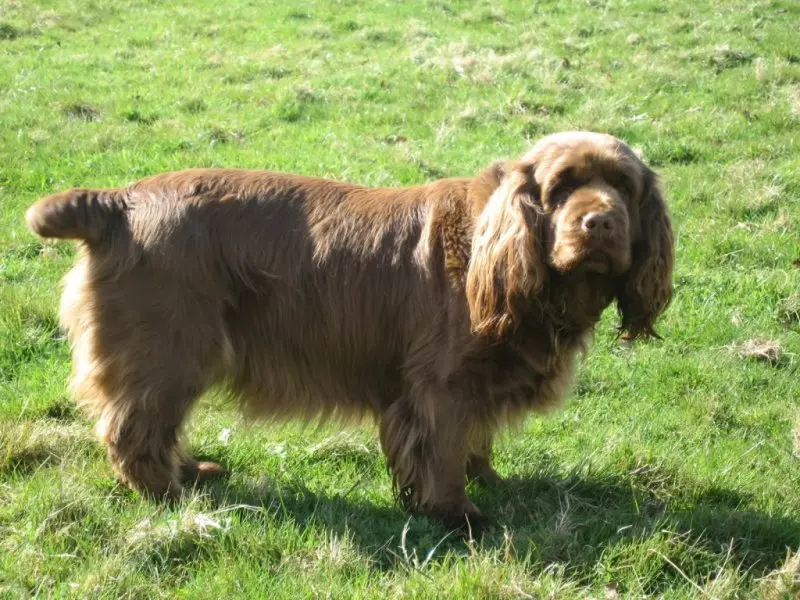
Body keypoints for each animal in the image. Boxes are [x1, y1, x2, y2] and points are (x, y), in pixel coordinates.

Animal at [26, 130, 676, 524]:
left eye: (624, 187)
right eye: (561, 187)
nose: (601, 223)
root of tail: (117, 202)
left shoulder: (474, 385)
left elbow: (476, 440)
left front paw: (489, 479)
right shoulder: (441, 385)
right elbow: (444, 452)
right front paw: (457, 516)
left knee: (152, 427)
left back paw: (190, 472)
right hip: (171, 347)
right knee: (131, 429)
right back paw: (168, 494)